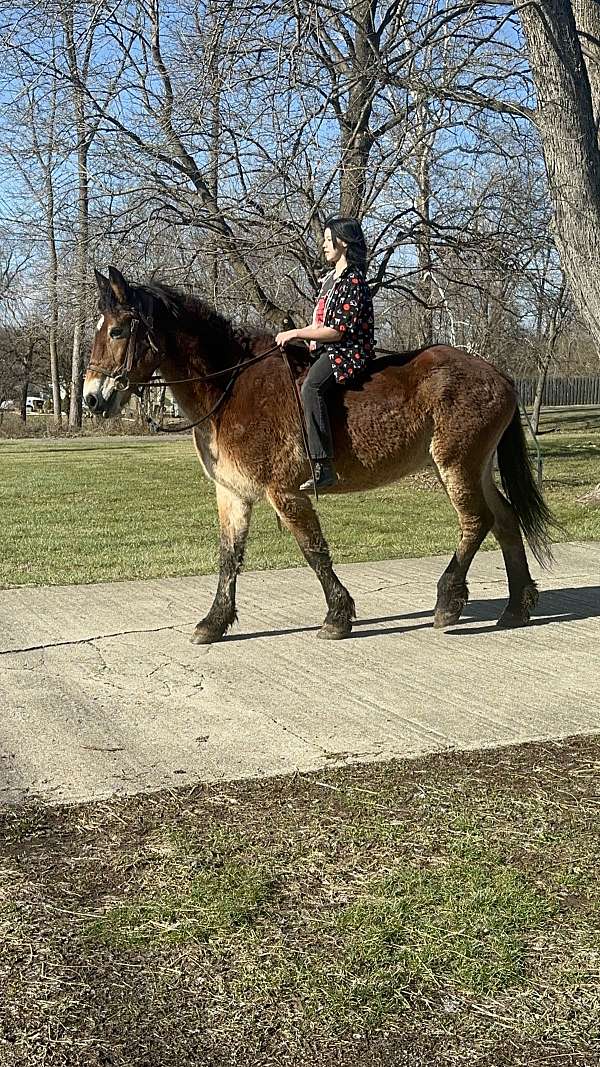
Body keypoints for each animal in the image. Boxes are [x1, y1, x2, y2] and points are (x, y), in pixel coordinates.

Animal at [82, 271, 550, 644]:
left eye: (119, 331)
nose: (91, 398)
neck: (229, 387)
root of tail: (497, 373)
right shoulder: (233, 493)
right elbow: (229, 556)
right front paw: (213, 623)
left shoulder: (285, 492)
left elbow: (313, 550)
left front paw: (337, 617)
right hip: (475, 467)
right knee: (505, 520)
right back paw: (516, 608)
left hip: (455, 464)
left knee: (476, 522)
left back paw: (448, 602)